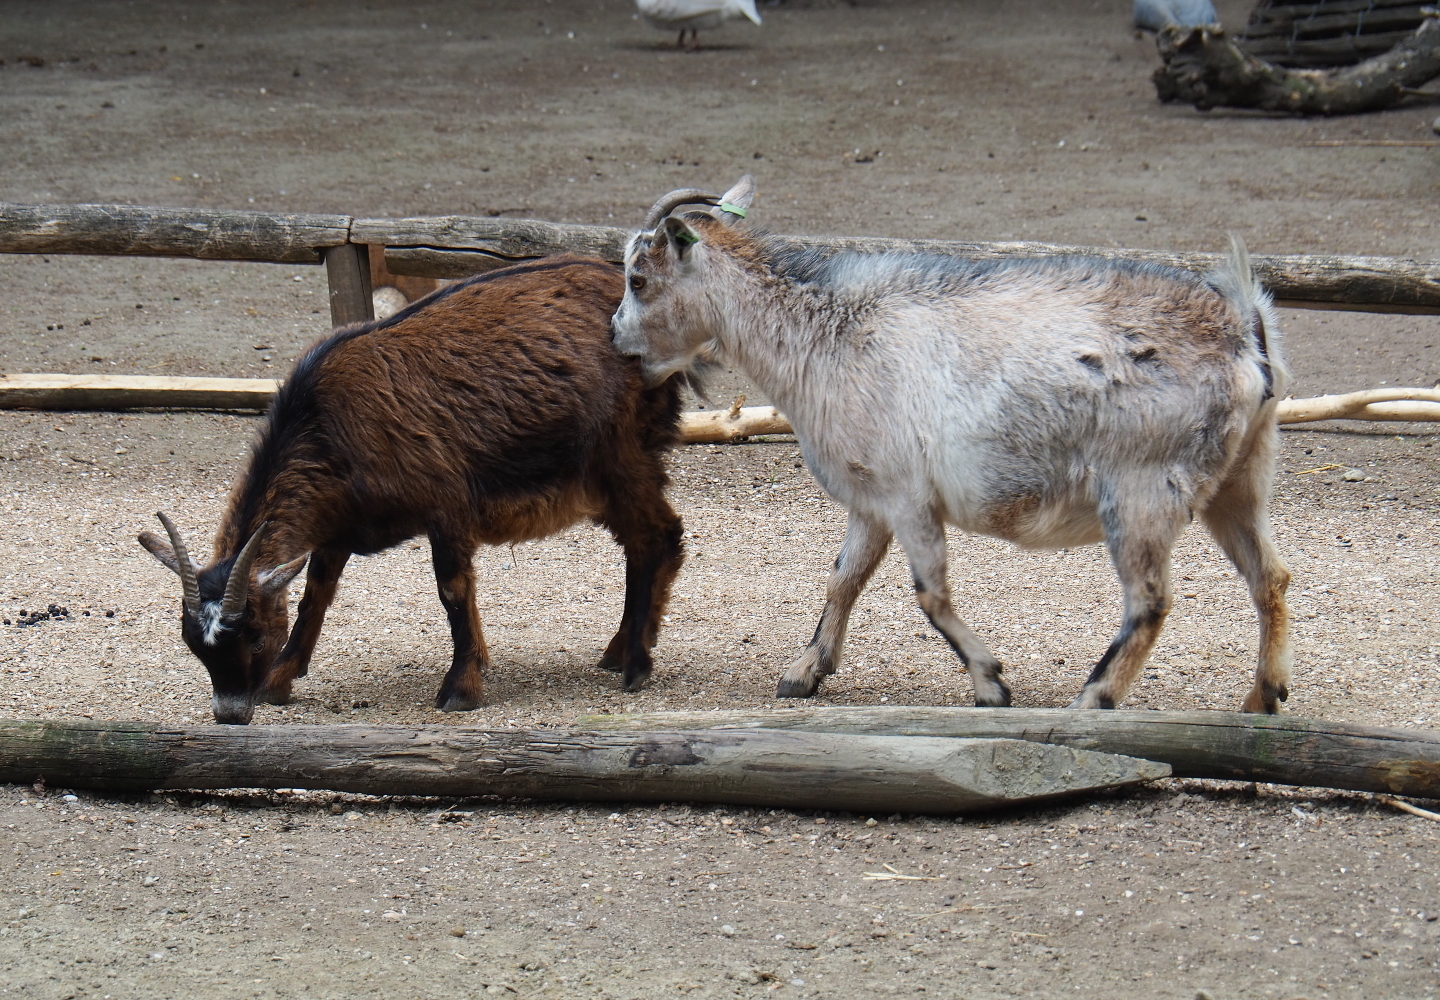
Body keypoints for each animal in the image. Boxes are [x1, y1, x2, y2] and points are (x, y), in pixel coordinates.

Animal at [139, 254, 685, 724]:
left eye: (252, 636)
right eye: (192, 643)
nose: (230, 714)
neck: (326, 423)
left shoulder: (447, 506)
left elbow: (452, 591)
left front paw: (461, 688)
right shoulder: (339, 524)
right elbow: (316, 592)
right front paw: (281, 679)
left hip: (621, 455)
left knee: (660, 535)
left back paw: (636, 665)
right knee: (640, 543)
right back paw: (618, 650)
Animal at [612, 176, 1293, 713]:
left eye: (639, 279)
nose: (617, 338)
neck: (826, 333)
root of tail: (1244, 327)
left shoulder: (909, 495)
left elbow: (928, 591)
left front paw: (991, 683)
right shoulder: (872, 496)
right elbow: (843, 576)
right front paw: (804, 672)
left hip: (1142, 487)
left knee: (1150, 600)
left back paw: (1093, 699)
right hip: (1240, 479)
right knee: (1271, 576)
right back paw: (1262, 697)